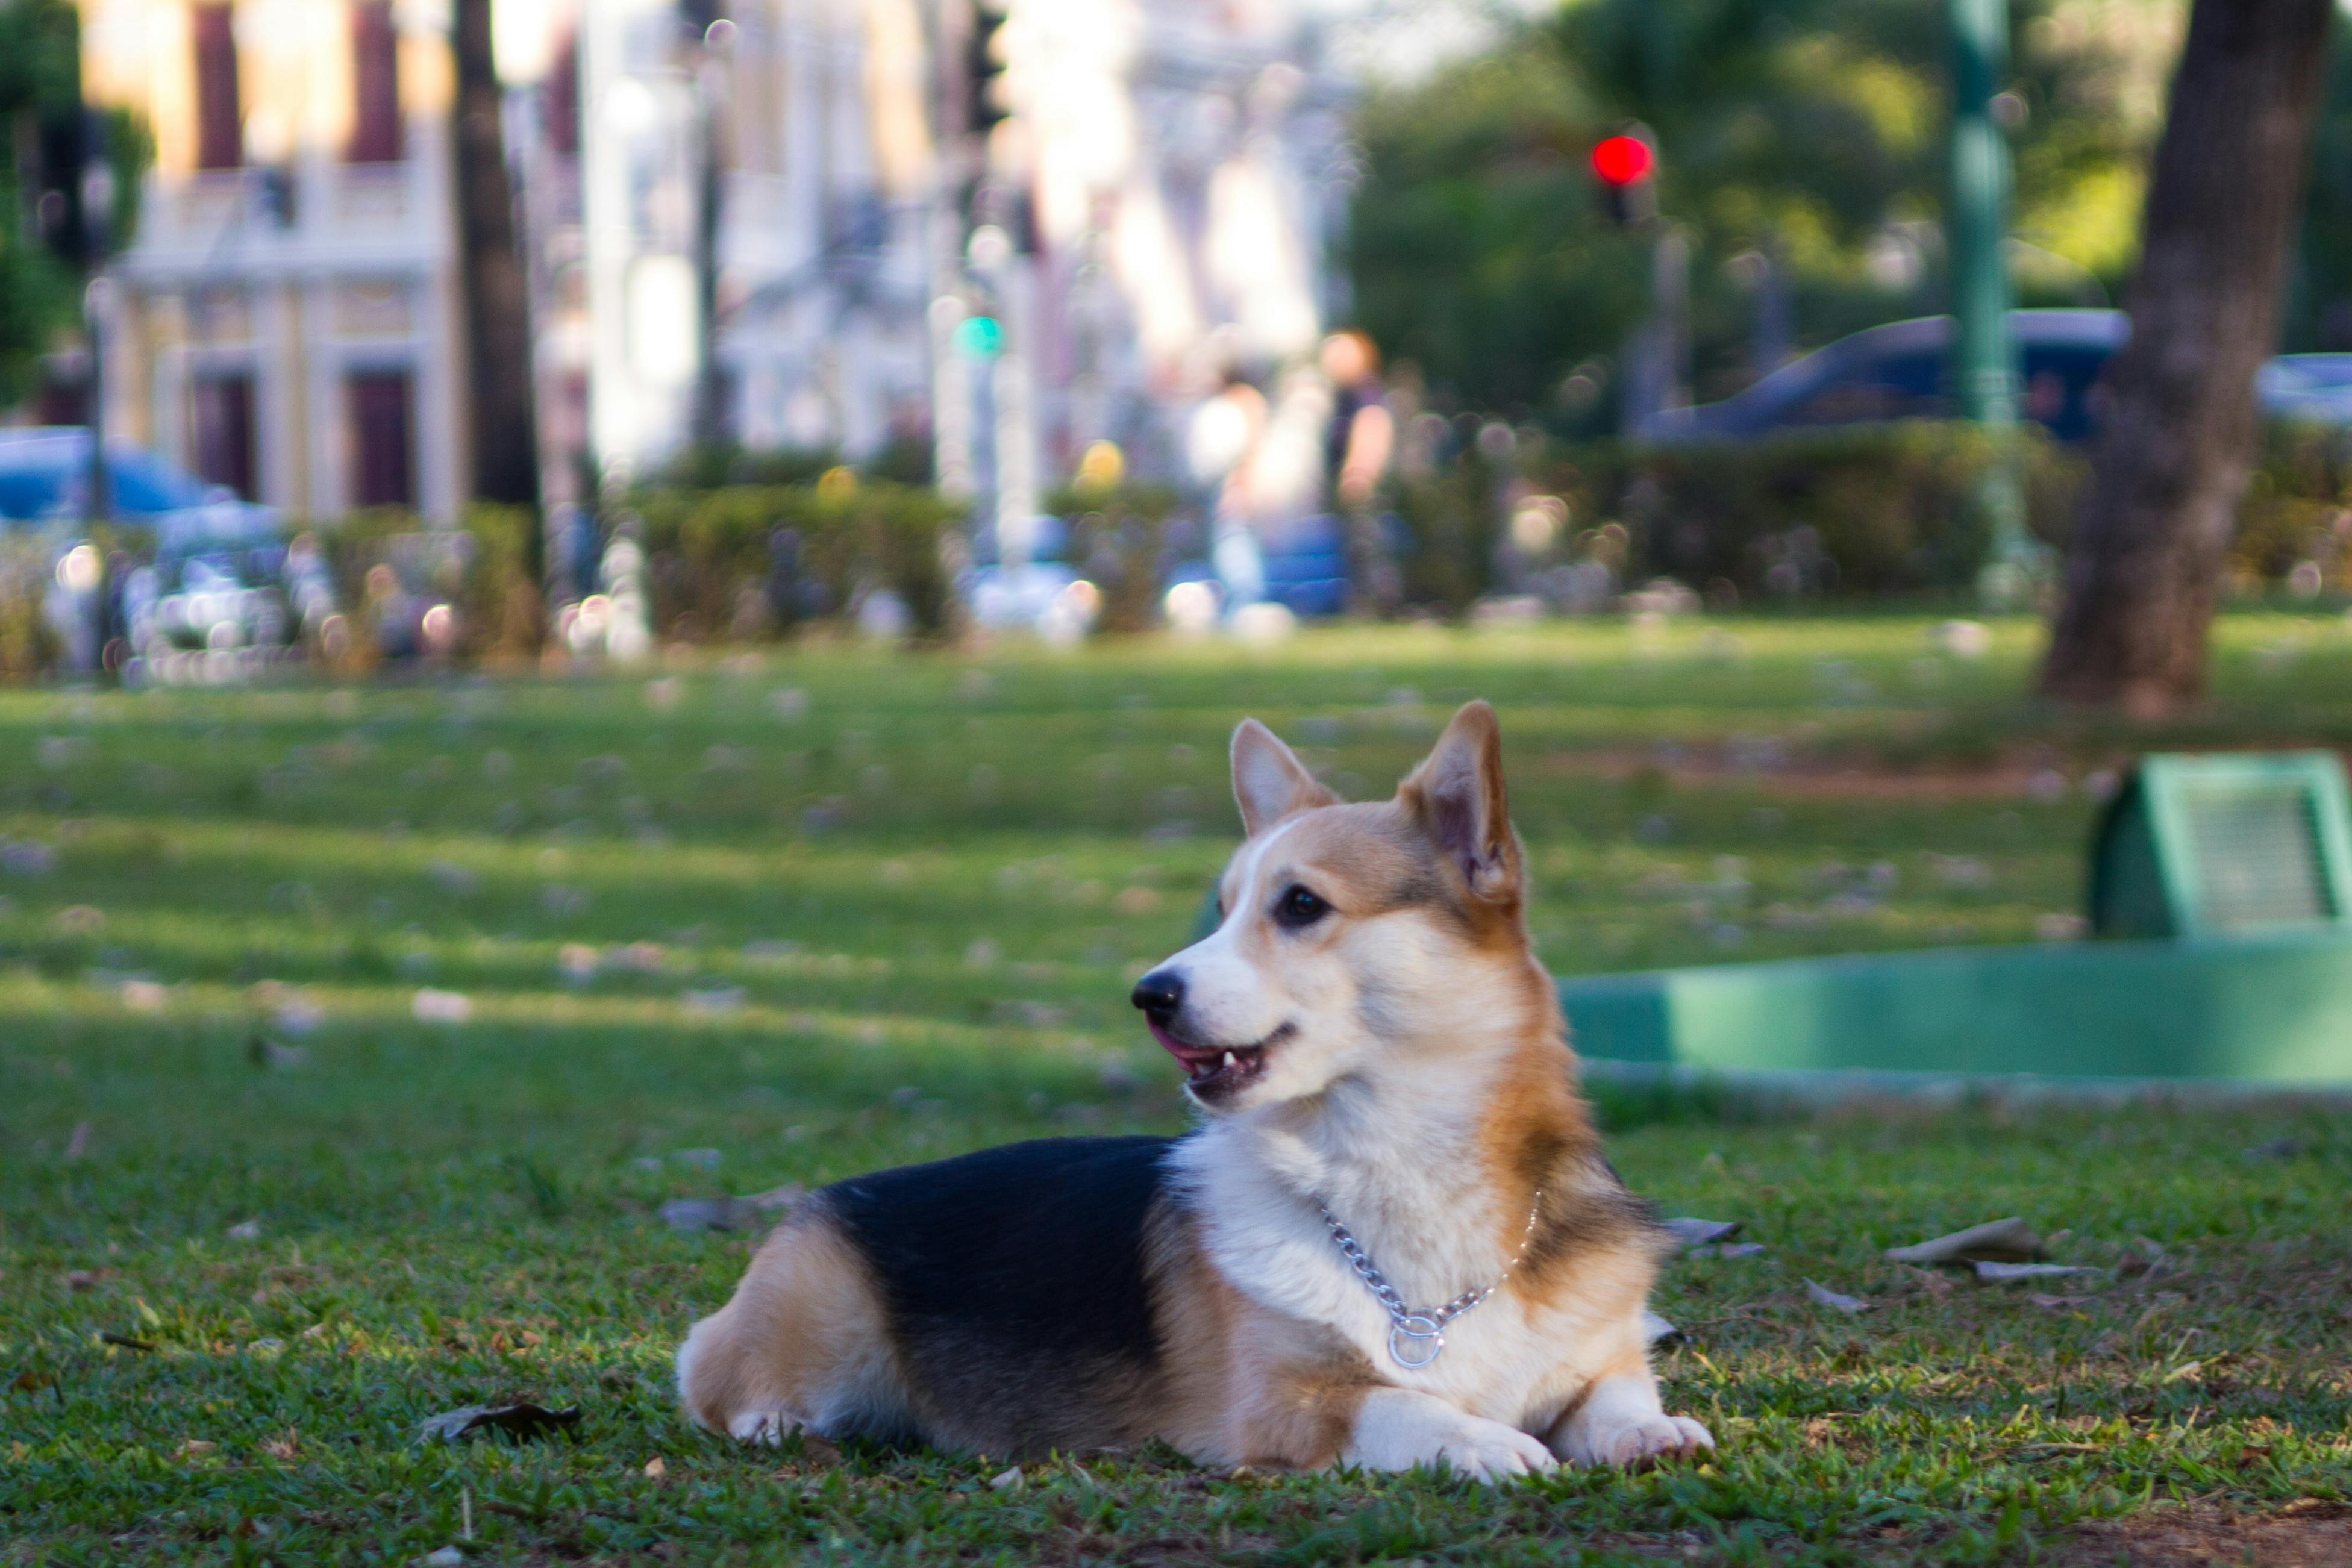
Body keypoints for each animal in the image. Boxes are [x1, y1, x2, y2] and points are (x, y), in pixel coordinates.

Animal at [677, 705, 1712, 1476]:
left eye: (1300, 903)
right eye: (1220, 910)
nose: (1149, 994)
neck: (1396, 1167)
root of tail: (831, 1192)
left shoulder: (1595, 1355)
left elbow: (1615, 1389)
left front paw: (1647, 1429)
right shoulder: (1285, 1405)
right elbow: (1404, 1406)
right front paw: (1486, 1441)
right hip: (819, 1329)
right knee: (711, 1381)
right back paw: (776, 1420)